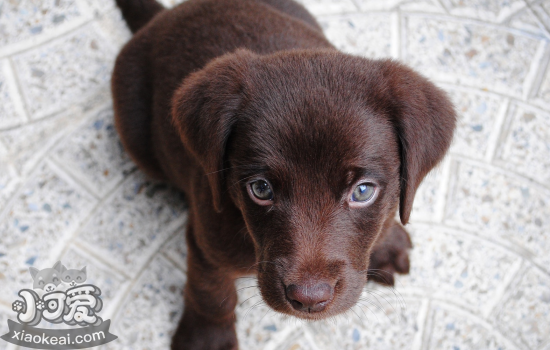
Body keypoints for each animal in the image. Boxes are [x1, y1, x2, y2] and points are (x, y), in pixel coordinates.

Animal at [111, 0, 458, 350]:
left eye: (362, 191)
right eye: (261, 189)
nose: (309, 299)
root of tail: (163, 16)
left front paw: (386, 243)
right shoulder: (206, 239)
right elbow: (211, 292)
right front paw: (207, 337)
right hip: (137, 136)